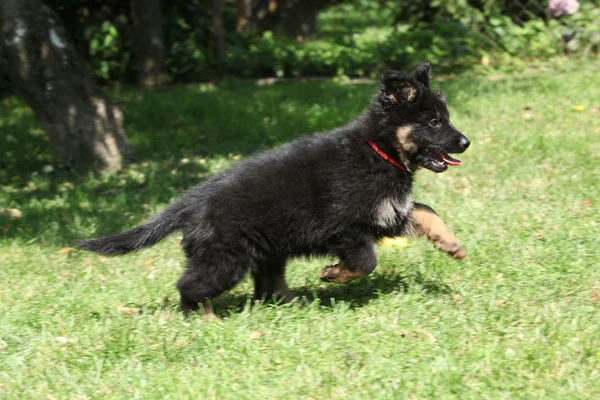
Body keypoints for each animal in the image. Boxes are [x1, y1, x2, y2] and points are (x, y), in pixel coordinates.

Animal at [76, 61, 468, 318]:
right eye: (434, 122)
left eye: (445, 118)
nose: (466, 142)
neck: (379, 150)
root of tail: (191, 201)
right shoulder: (346, 227)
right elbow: (365, 261)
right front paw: (333, 275)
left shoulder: (388, 214)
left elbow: (426, 211)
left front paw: (450, 243)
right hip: (225, 259)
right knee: (190, 286)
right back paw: (204, 318)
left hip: (268, 251)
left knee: (268, 288)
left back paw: (294, 305)